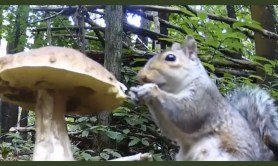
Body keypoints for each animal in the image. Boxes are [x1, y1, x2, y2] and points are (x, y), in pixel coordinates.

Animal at [129, 35, 278, 161]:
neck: (176, 90)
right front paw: (136, 92)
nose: (141, 76)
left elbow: (187, 115)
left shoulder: (203, 97)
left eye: (171, 58)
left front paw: (151, 90)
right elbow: (170, 130)